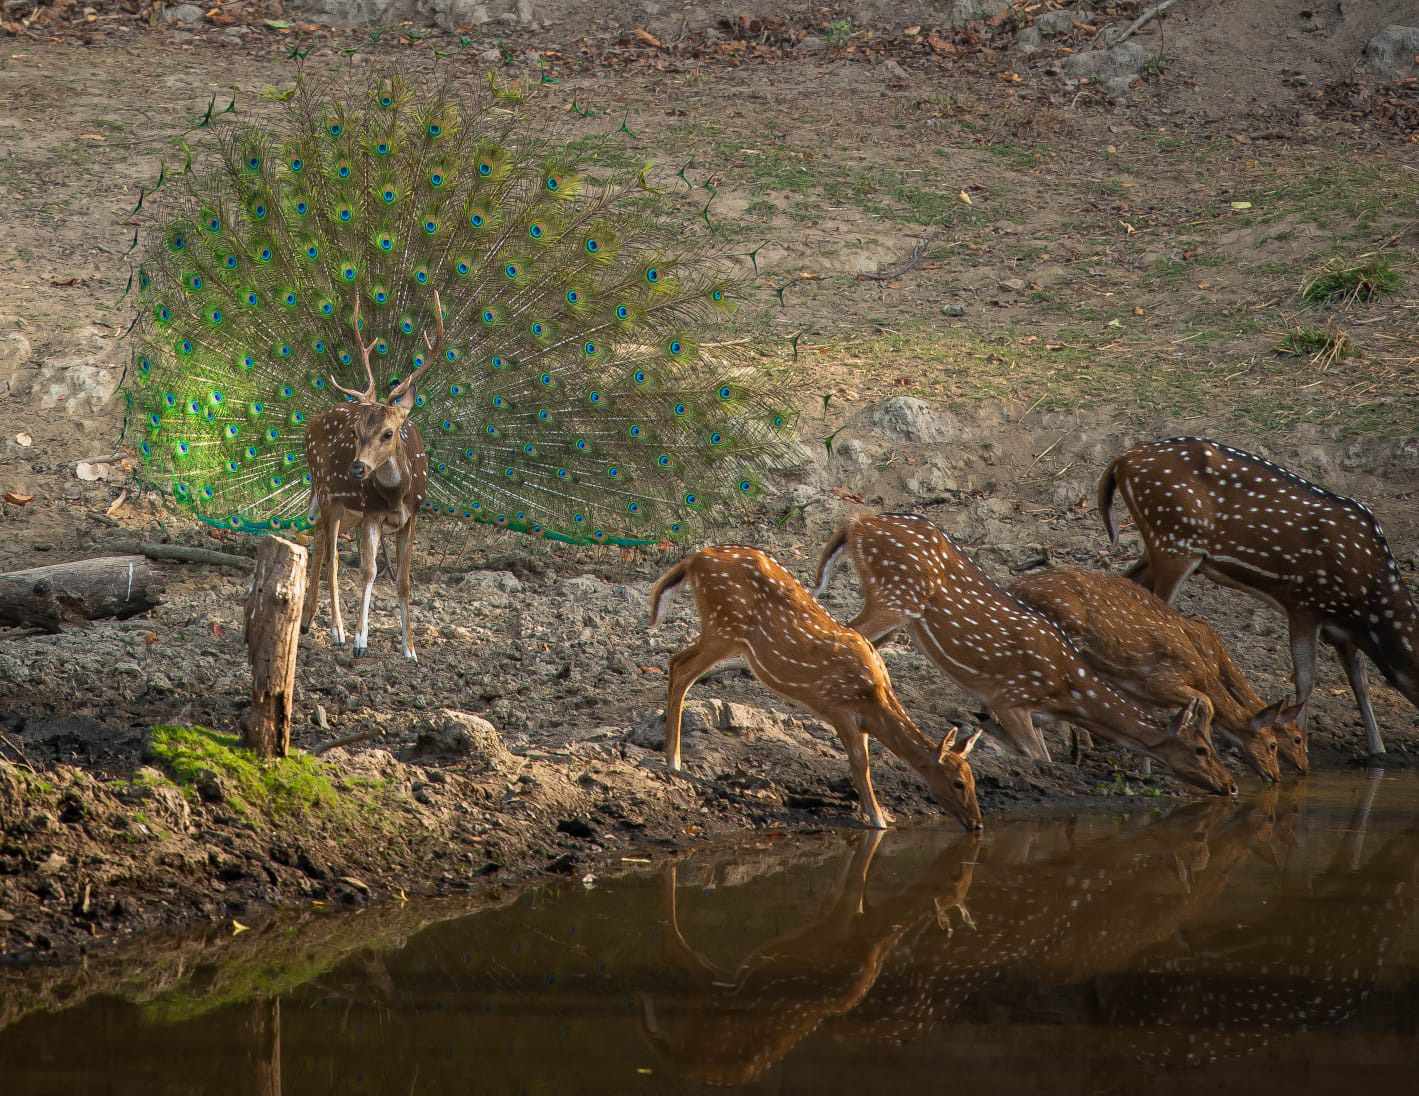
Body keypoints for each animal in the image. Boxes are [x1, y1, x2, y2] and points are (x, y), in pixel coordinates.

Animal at [305, 291, 442, 658]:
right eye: (354, 431)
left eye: (389, 433)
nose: (356, 468)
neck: (396, 495)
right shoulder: (371, 514)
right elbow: (368, 571)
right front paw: (359, 641)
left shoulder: (412, 517)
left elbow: (404, 581)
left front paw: (410, 649)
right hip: (327, 495)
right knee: (332, 558)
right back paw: (336, 631)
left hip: (342, 508)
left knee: (320, 540)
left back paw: (308, 620)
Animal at [652, 542, 987, 834]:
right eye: (958, 782)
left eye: (975, 780)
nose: (978, 824)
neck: (874, 698)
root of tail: (693, 560)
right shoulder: (837, 706)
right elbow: (860, 764)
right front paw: (879, 820)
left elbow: (863, 763)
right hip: (725, 626)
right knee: (680, 667)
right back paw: (673, 759)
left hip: (724, 630)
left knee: (677, 661)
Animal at [817, 513, 1237, 795]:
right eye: (1201, 749)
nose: (1231, 786)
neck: (1068, 691)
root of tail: (856, 522)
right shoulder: (1009, 696)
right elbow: (1037, 757)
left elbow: (1035, 752)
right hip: (897, 595)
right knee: (851, 633)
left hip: (898, 609)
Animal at [1010, 570, 1305, 783]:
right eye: (1275, 744)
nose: (1278, 775)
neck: (1209, 666)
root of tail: (1014, 586)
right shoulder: (1162, 682)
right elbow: (1205, 706)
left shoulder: (1141, 690)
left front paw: (1146, 770)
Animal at [1095, 434, 1419, 755]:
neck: (1367, 605)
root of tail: (1120, 460)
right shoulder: (1304, 602)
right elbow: (1305, 679)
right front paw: (1301, 744)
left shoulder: (1340, 629)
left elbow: (1359, 681)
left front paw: (1377, 751)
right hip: (1173, 542)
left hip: (1158, 547)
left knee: (1125, 584)